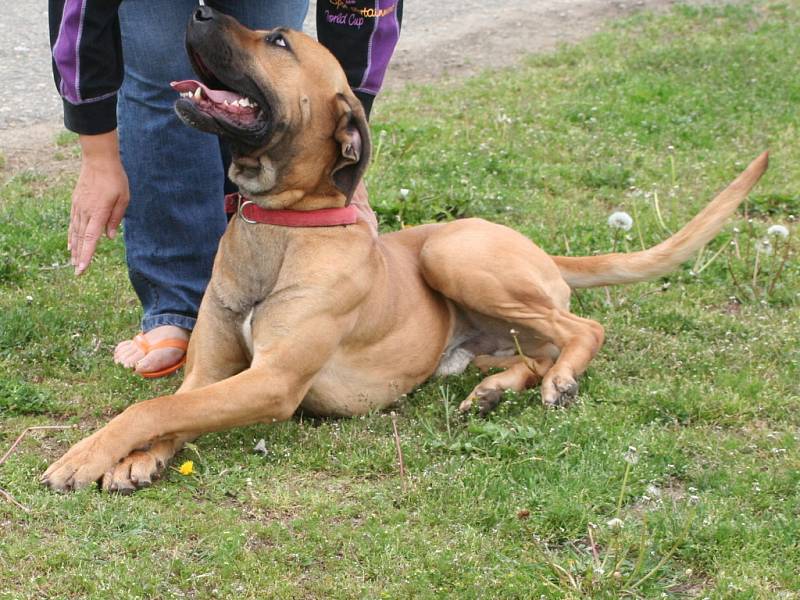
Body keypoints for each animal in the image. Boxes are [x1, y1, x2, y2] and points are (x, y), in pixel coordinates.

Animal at [40, 5, 764, 492]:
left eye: (277, 40)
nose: (195, 7)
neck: (283, 225)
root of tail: (539, 251)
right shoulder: (214, 370)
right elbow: (174, 408)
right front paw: (137, 459)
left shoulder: (272, 381)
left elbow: (153, 406)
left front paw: (89, 453)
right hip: (477, 333)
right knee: (534, 350)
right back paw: (495, 391)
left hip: (456, 255)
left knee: (584, 328)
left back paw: (559, 380)